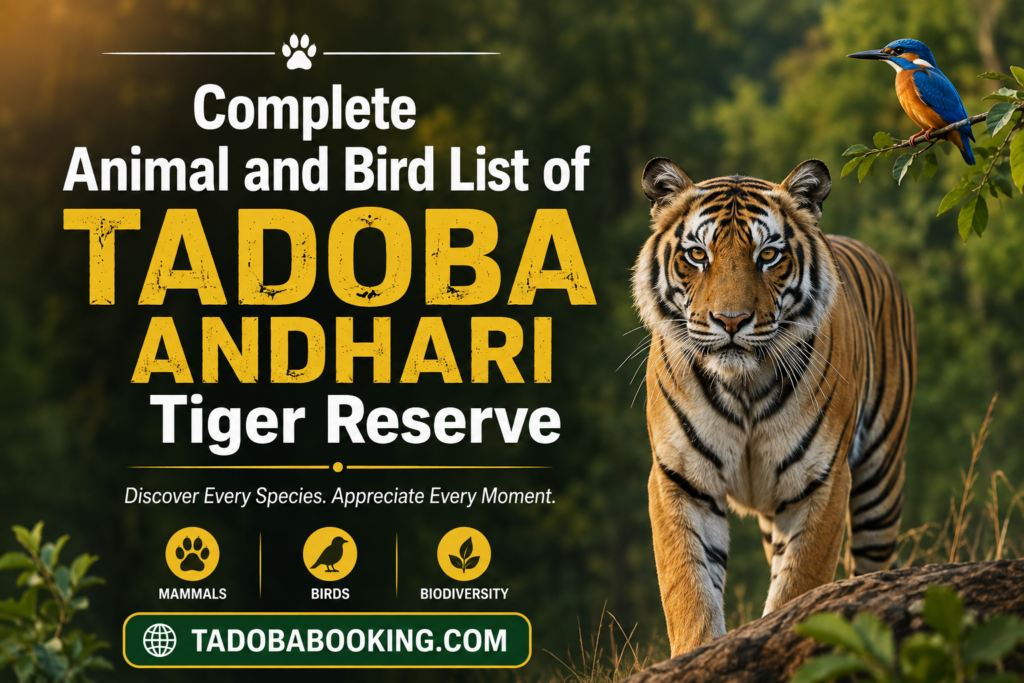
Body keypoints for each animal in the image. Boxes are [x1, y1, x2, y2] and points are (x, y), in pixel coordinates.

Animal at [631, 157, 916, 656]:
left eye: (768, 255)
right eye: (697, 255)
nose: (730, 321)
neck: (743, 384)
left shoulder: (822, 481)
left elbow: (799, 587)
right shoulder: (680, 478)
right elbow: (689, 588)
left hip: (879, 482)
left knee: (873, 562)